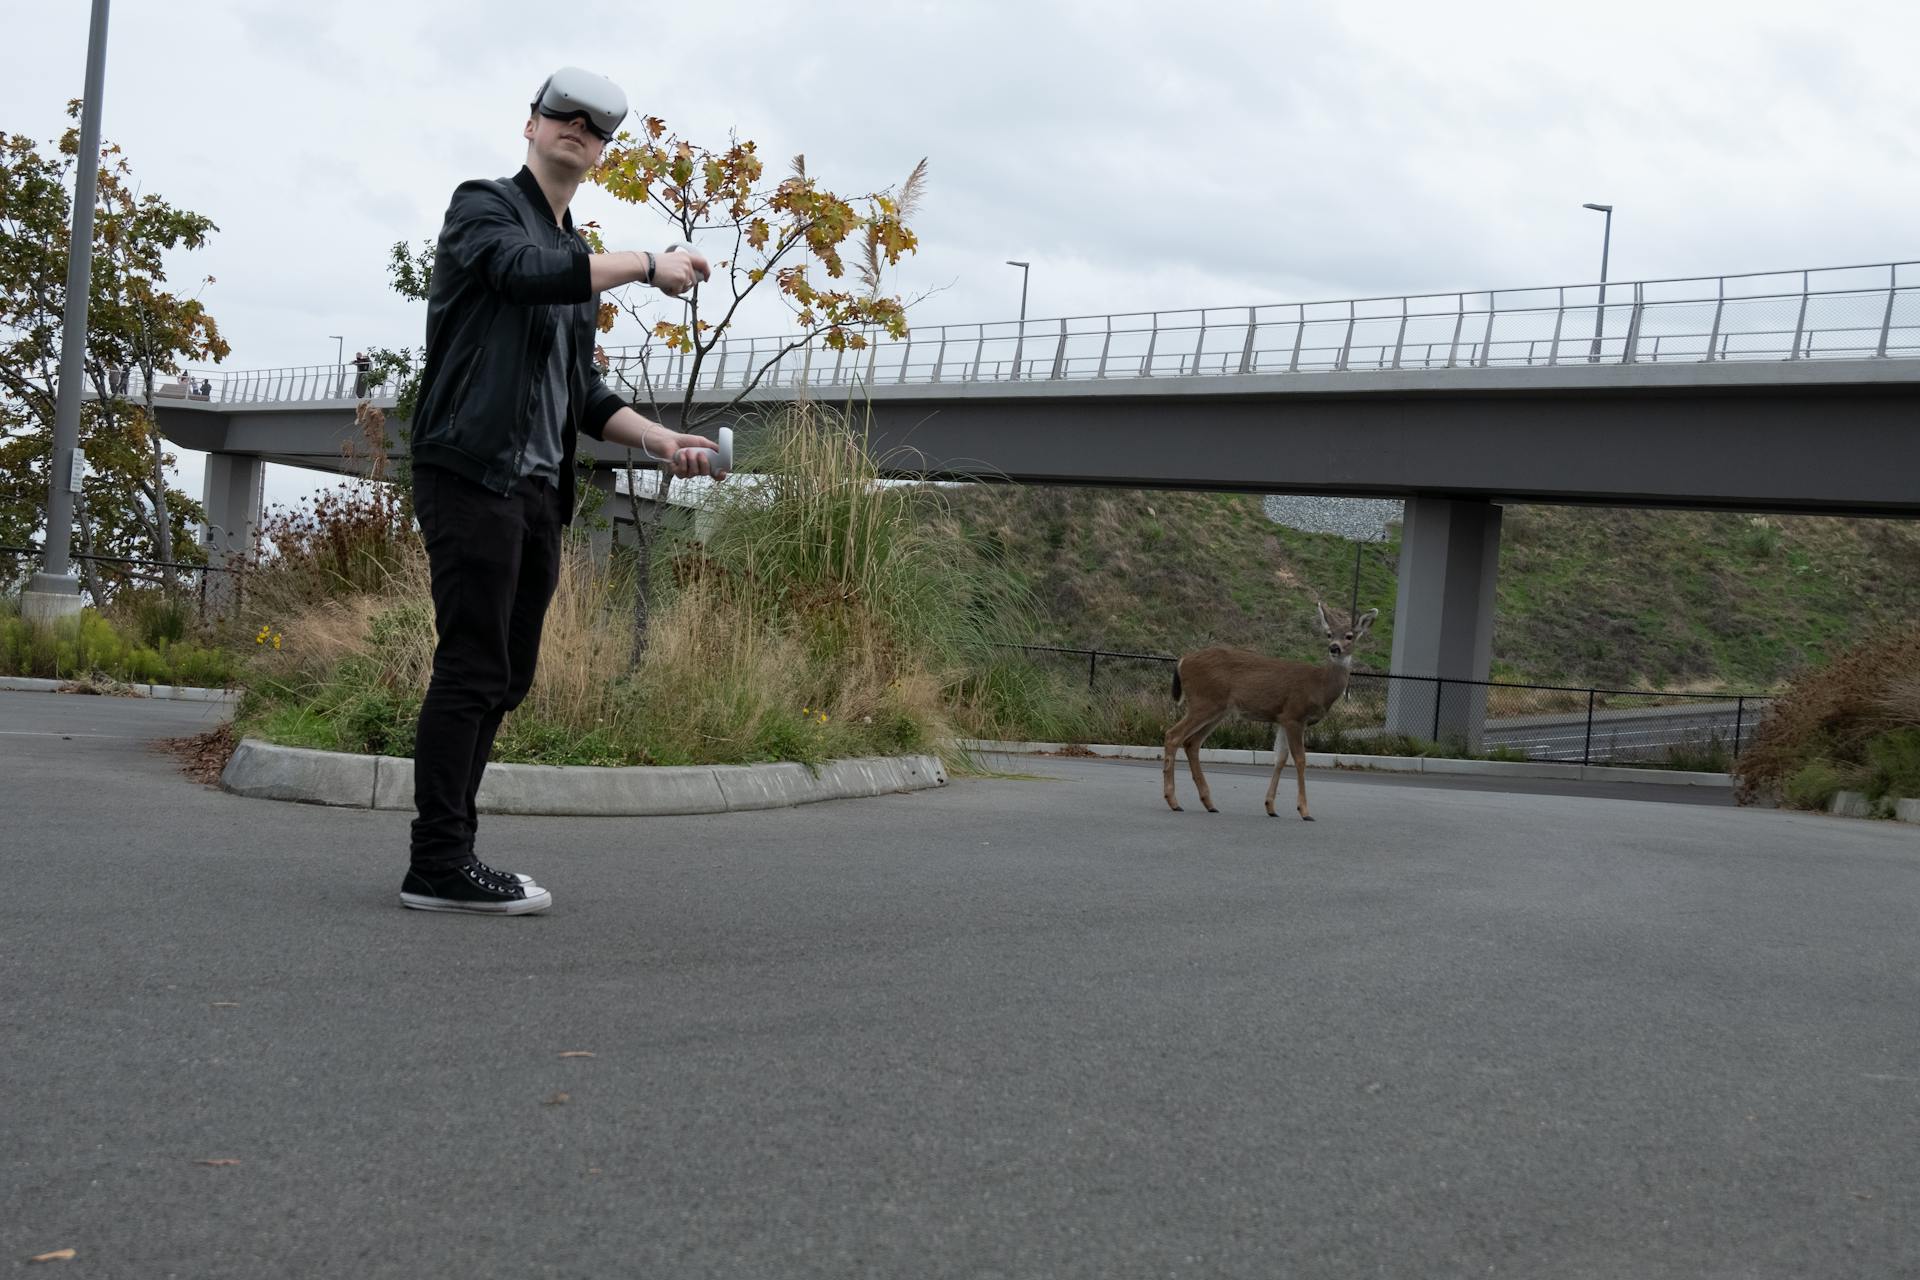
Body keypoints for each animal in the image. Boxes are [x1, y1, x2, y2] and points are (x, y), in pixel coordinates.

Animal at [1159, 602, 1374, 821]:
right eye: (1329, 634)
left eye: (1349, 635)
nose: (1334, 648)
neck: (1319, 686)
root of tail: (1183, 660)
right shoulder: (1294, 715)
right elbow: (1300, 759)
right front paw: (1304, 811)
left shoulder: (1282, 718)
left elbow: (1279, 759)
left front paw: (1270, 806)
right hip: (1204, 702)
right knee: (1173, 735)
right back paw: (1173, 801)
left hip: (1217, 709)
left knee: (1191, 742)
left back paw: (1209, 803)